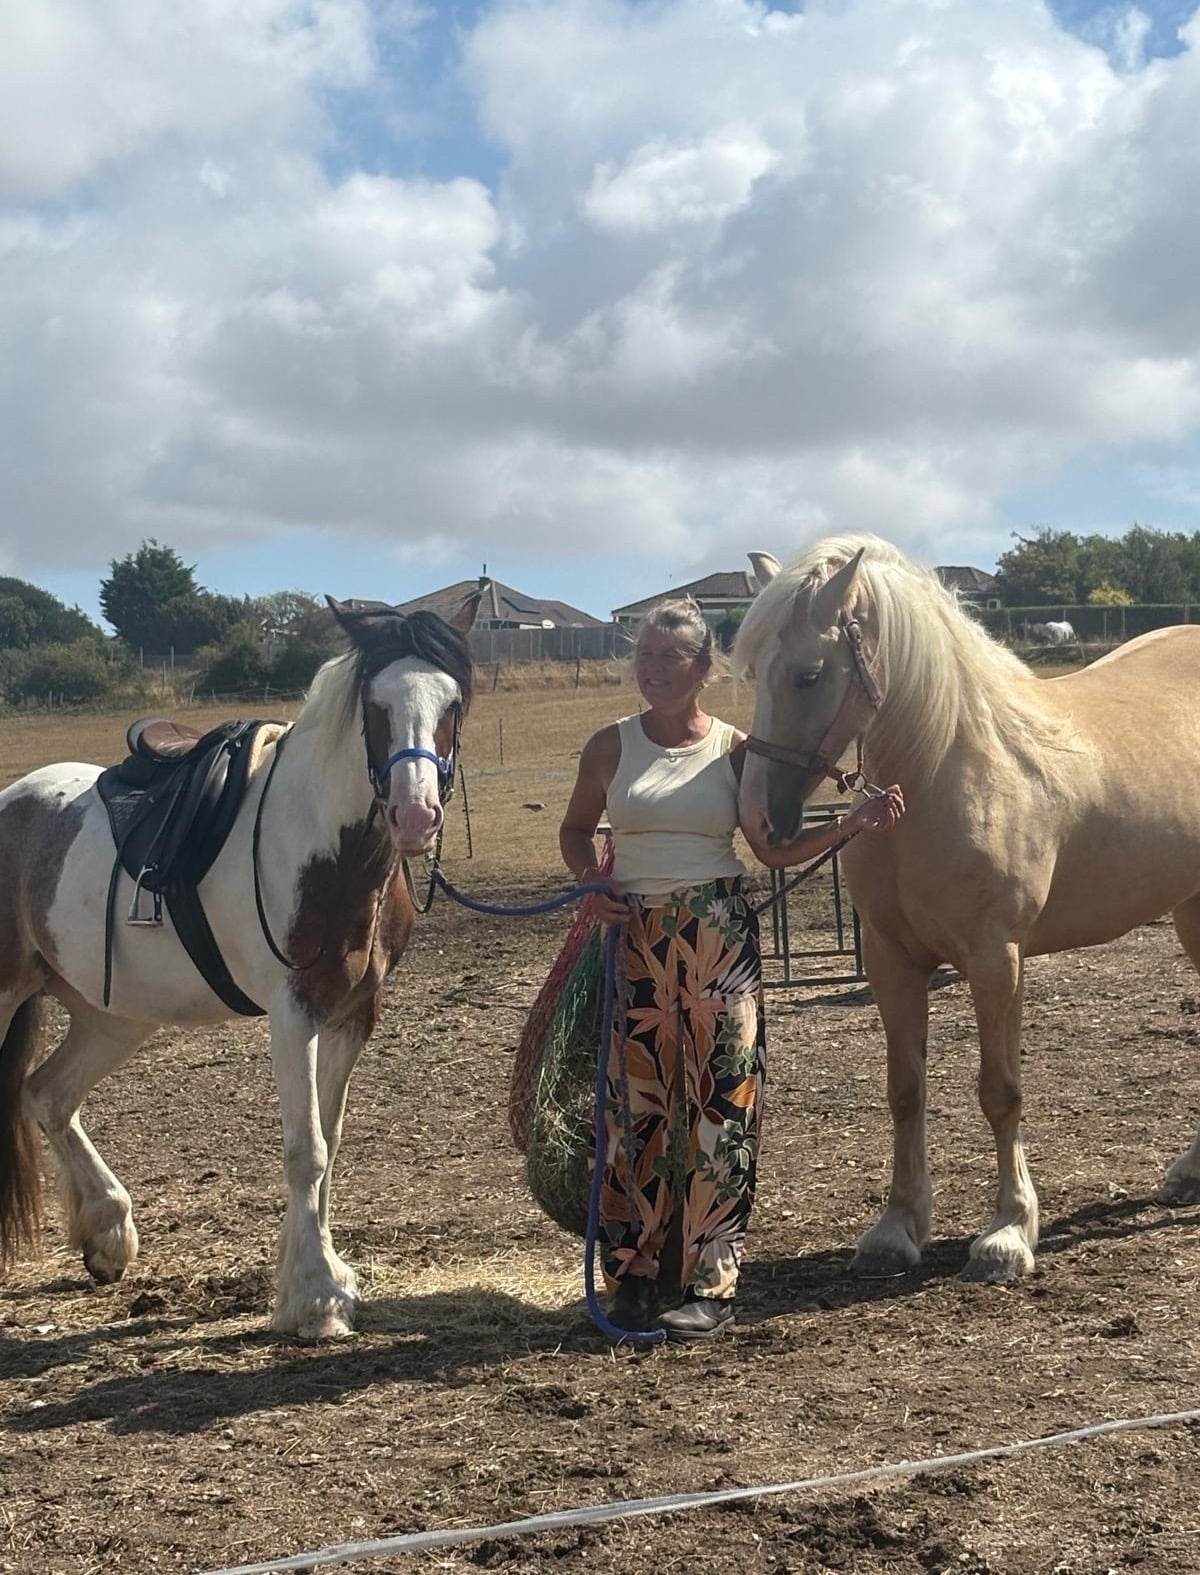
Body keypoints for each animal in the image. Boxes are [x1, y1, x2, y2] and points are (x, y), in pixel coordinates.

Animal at [0, 595, 476, 1339]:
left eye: (451, 701)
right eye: (375, 705)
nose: (414, 813)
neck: (321, 842)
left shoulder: (353, 1013)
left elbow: (329, 1140)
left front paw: (309, 1275)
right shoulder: (293, 1010)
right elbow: (305, 1148)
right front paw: (317, 1298)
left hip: (111, 1015)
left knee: (47, 1095)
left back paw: (108, 1233)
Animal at [736, 535, 1200, 1283]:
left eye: (808, 674)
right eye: (753, 673)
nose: (756, 820)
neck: (946, 771)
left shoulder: (994, 959)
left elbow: (1000, 1091)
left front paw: (1009, 1231)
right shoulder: (891, 962)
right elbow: (904, 1089)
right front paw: (896, 1227)